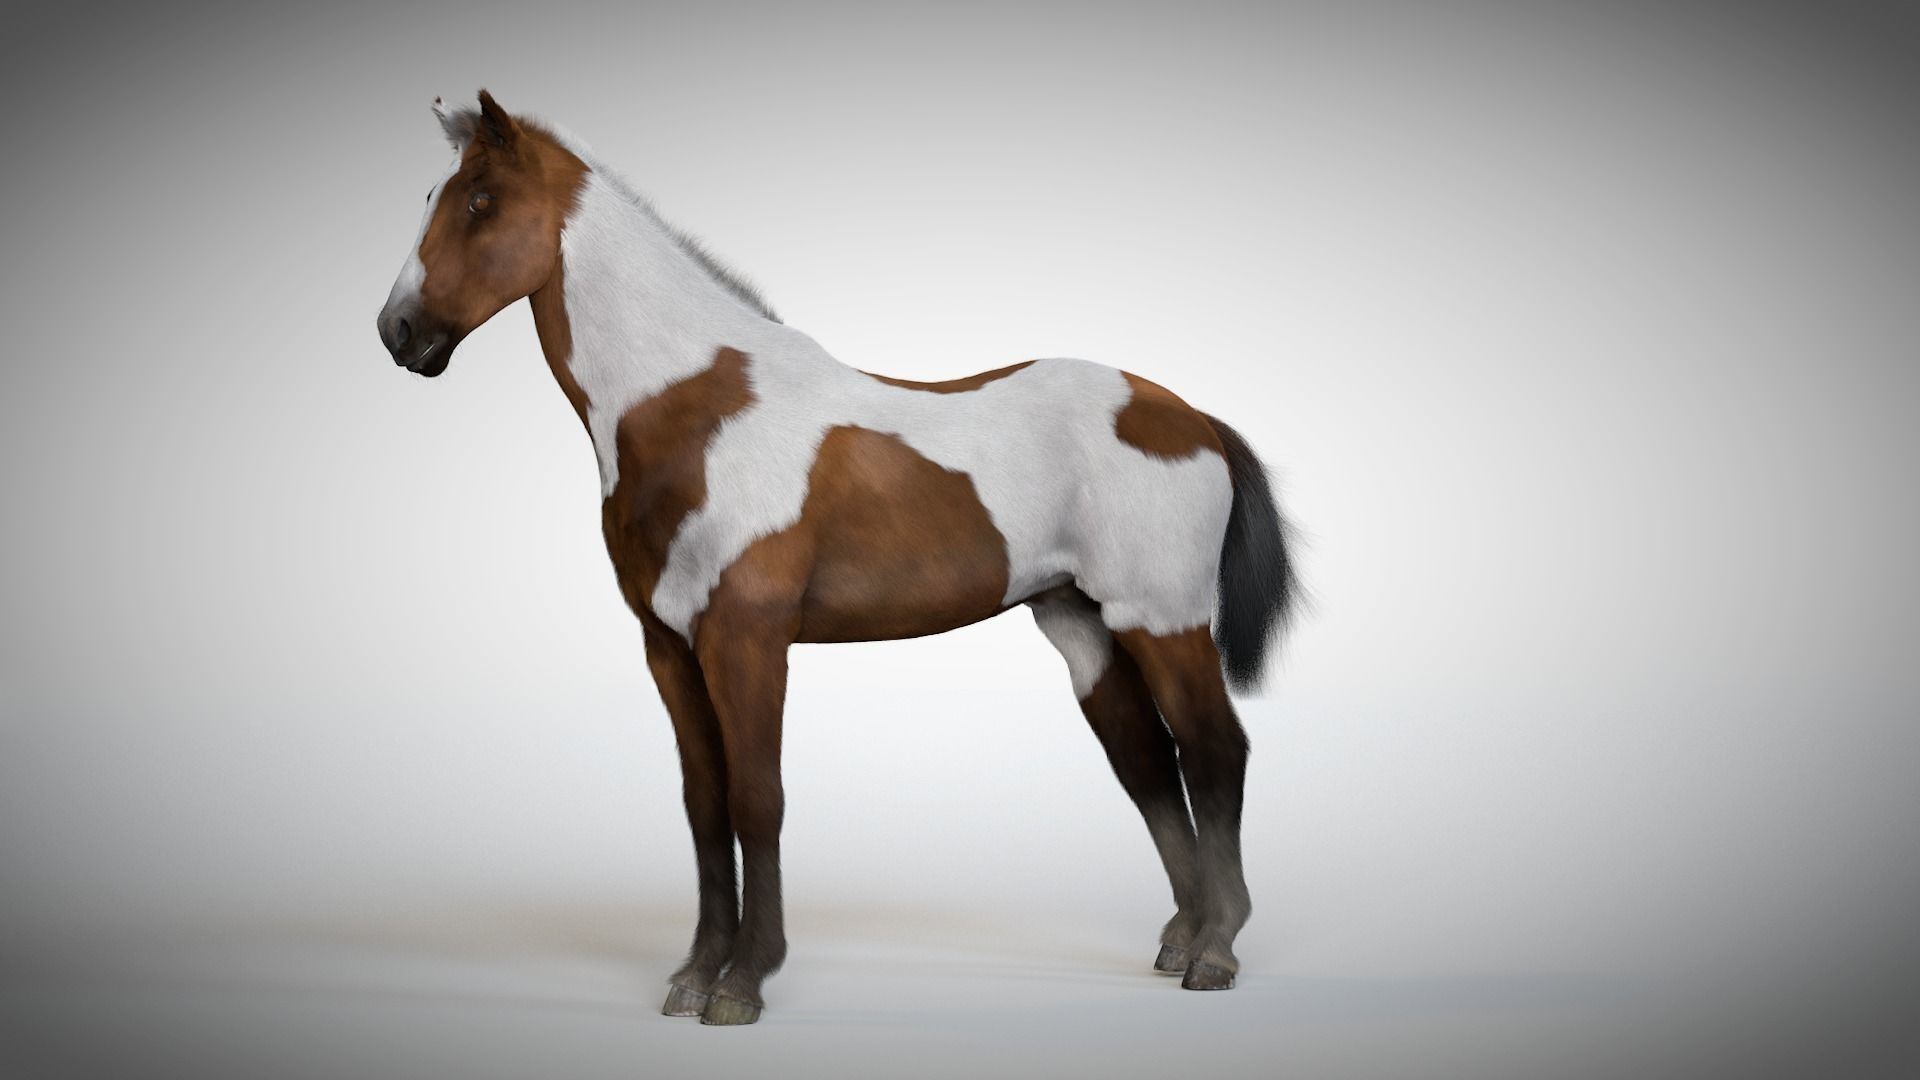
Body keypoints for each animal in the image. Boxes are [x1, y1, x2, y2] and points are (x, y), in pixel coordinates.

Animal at [376, 91, 1299, 1026]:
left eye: (480, 201)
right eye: (432, 196)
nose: (398, 332)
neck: (694, 414)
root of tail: (1190, 417)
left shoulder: (746, 638)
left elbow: (757, 799)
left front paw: (743, 983)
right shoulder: (668, 646)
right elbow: (704, 806)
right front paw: (693, 974)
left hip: (1163, 620)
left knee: (1214, 752)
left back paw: (1216, 949)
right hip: (1082, 624)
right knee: (1148, 762)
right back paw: (1180, 936)